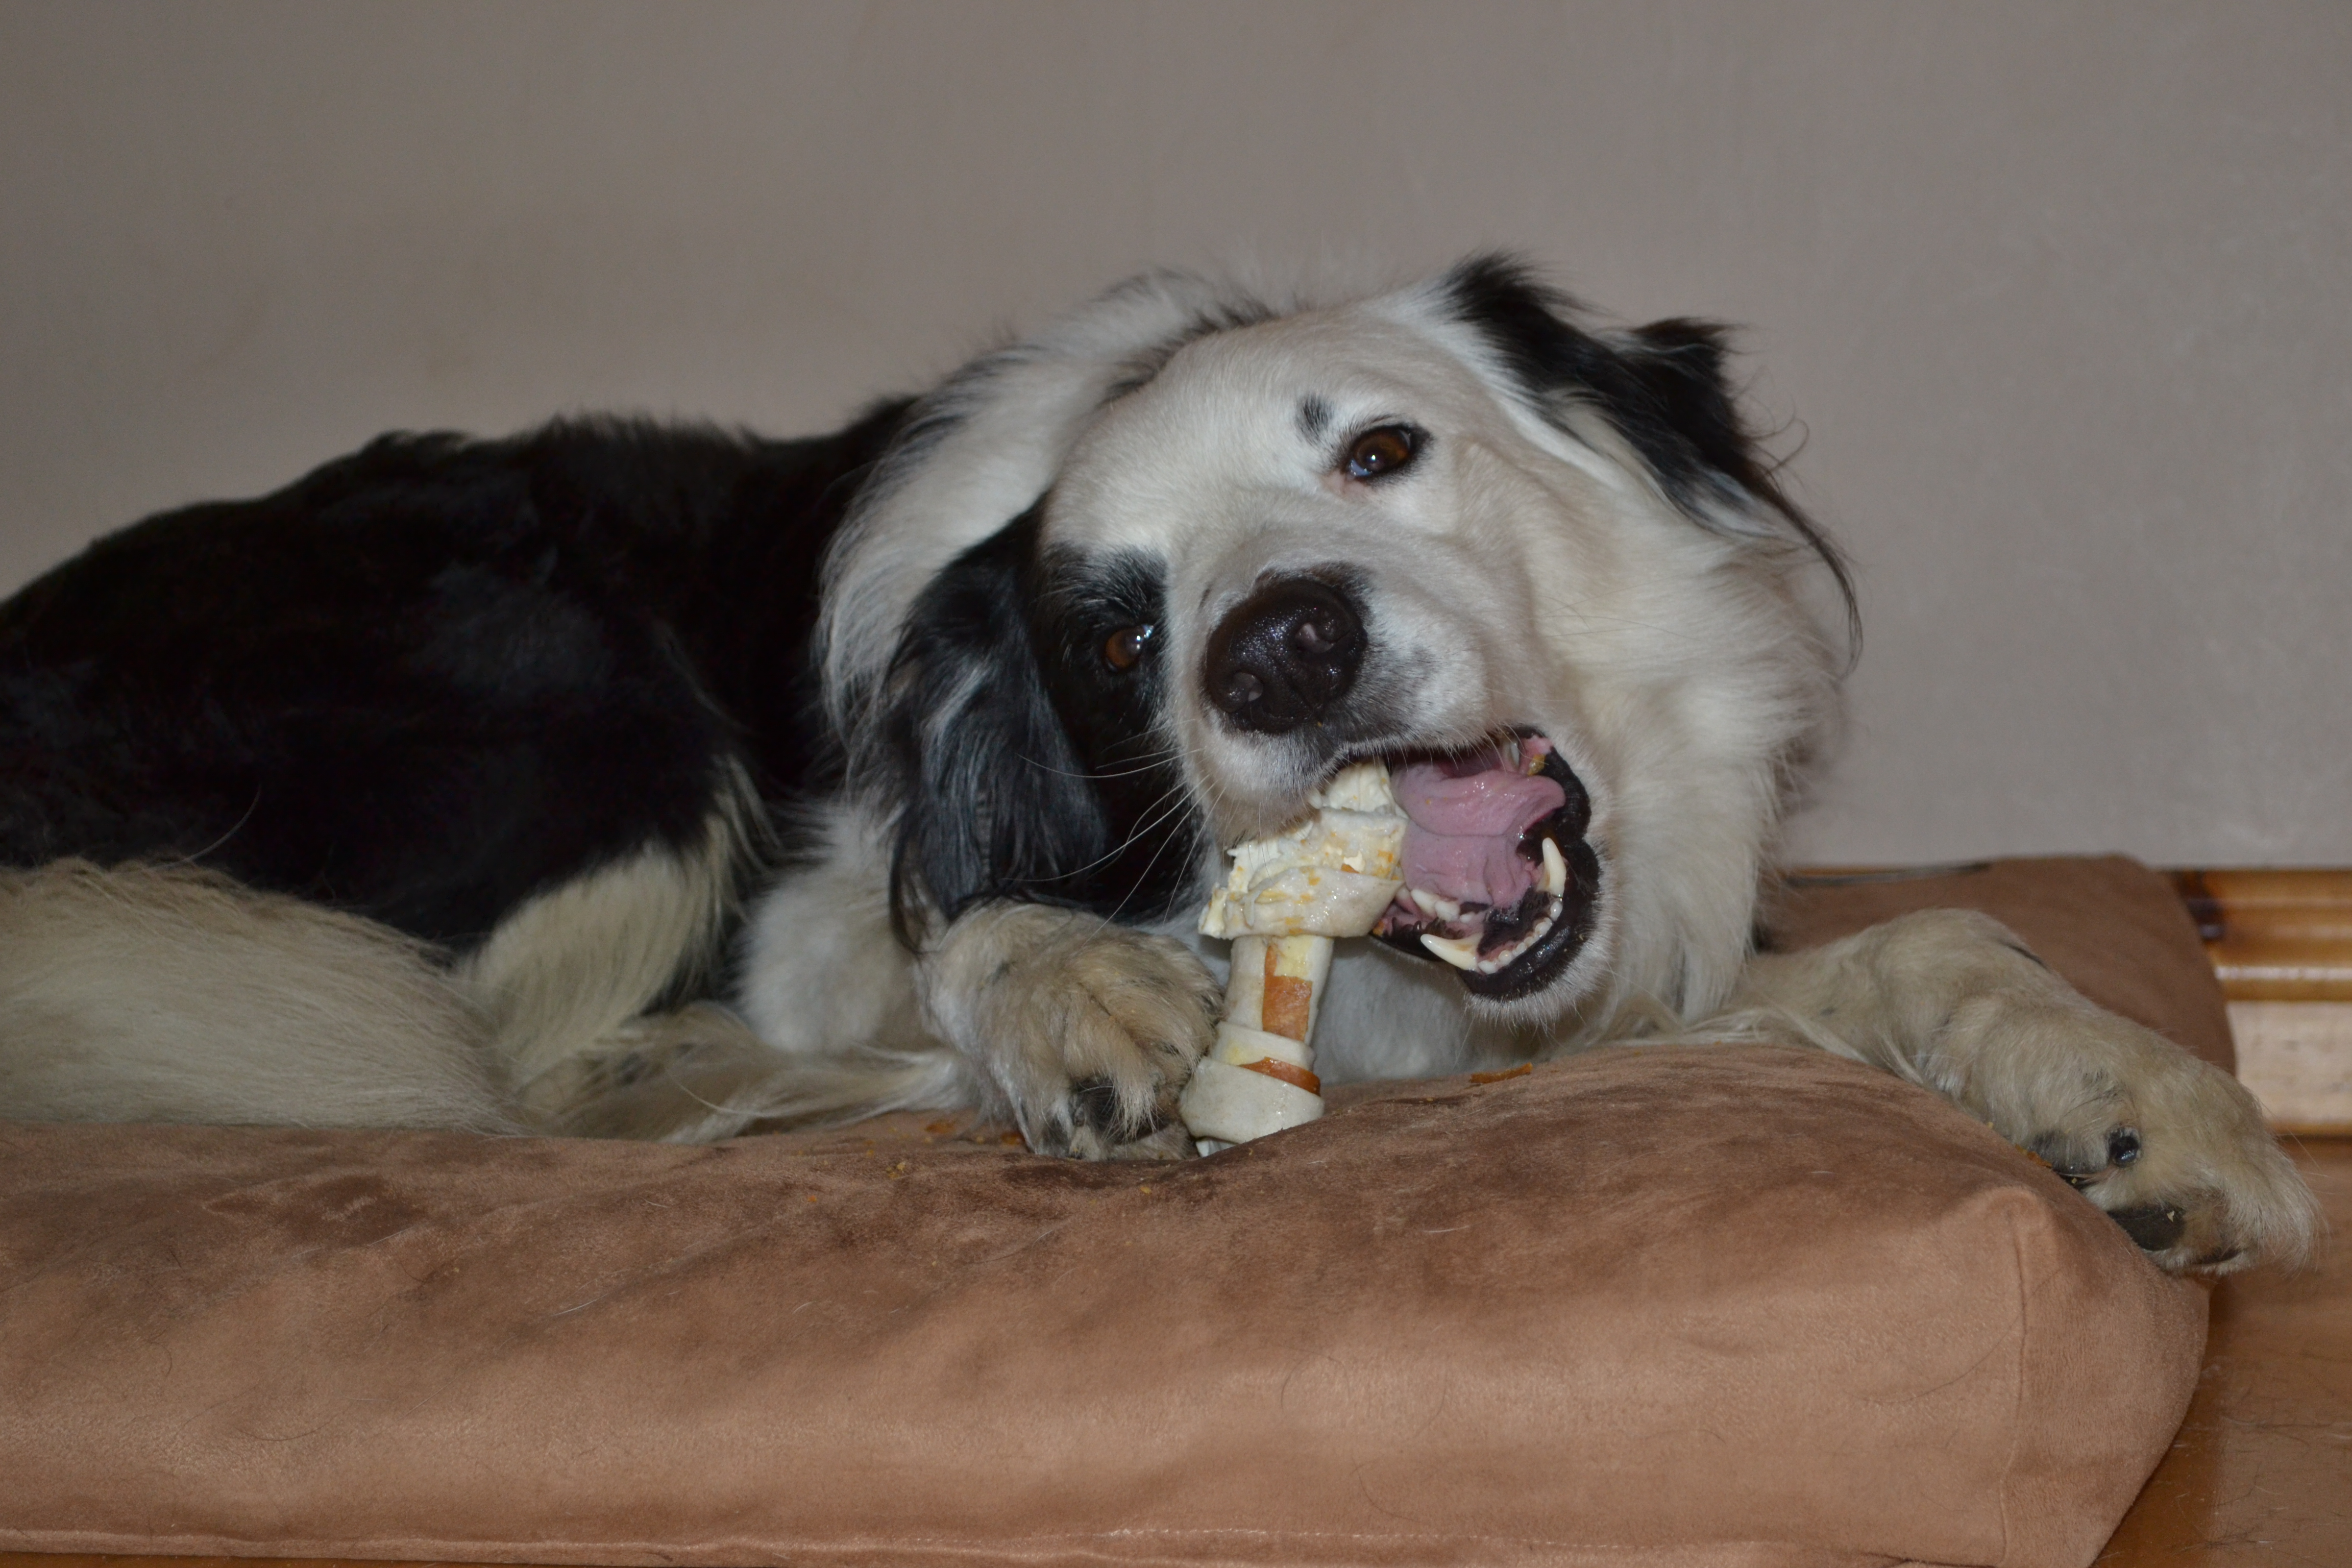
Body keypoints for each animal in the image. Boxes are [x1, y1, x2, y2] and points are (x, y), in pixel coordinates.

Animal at [0, 256, 2316, 1272]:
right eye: (1116, 634)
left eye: (1377, 450)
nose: (1276, 647)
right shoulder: (824, 905)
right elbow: (950, 928)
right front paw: (1062, 989)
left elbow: (1938, 946)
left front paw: (2148, 1108)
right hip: (572, 691)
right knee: (501, 1076)